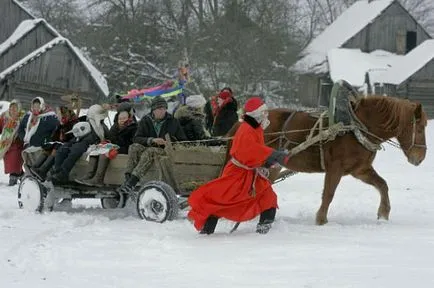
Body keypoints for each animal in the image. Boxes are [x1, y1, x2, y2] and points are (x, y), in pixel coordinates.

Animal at [227, 96, 428, 225]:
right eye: (420, 128)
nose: (420, 158)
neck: (356, 129)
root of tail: (240, 122)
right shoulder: (335, 168)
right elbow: (329, 194)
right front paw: (321, 220)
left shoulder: (360, 170)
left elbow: (383, 185)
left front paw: (384, 213)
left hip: (273, 167)